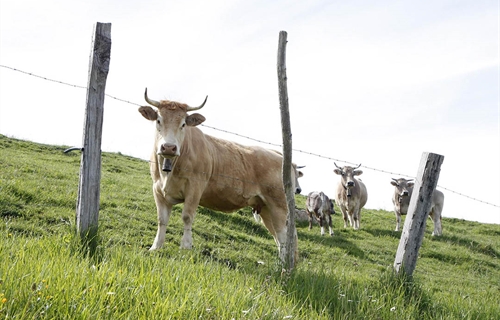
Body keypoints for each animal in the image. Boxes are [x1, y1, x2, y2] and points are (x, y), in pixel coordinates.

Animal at [139, 88, 298, 262]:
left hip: (279, 205)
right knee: (278, 236)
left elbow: (187, 216)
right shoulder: (157, 189)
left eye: (183, 124)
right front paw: (155, 247)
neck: (168, 172)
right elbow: (161, 220)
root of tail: (279, 155)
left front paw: (186, 247)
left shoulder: (195, 188)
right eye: (158, 120)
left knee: (284, 235)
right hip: (265, 208)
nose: (169, 147)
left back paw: (284, 264)